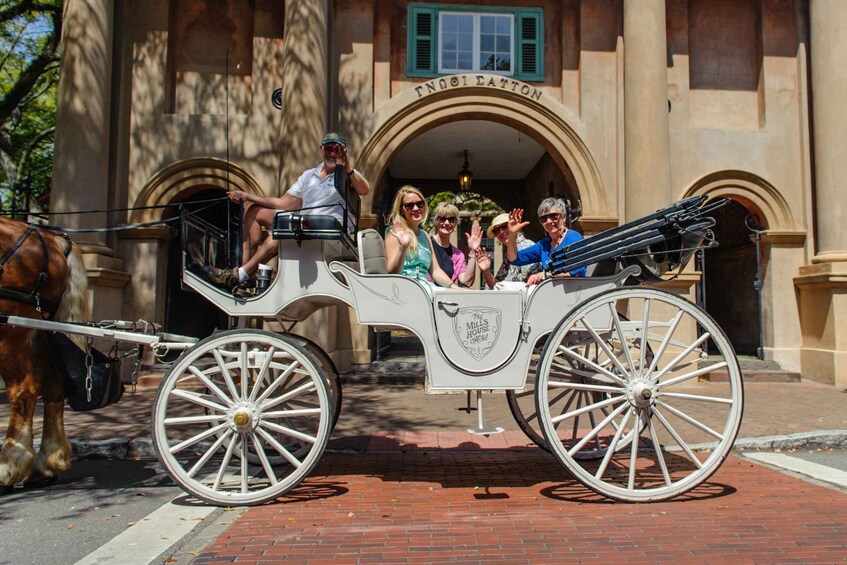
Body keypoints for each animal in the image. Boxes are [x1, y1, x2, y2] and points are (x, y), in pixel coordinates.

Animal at [0, 216, 89, 484]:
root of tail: (52, 238)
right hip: (42, 330)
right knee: (52, 386)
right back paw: (47, 463)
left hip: (13, 324)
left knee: (24, 388)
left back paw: (10, 463)